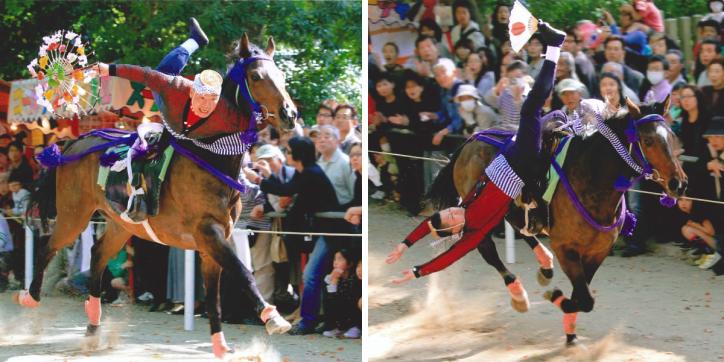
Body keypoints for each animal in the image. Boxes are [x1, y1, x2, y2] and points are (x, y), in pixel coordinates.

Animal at [12, 34, 294, 360]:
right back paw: (30, 297)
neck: (211, 155)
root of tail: (72, 144)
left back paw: (93, 327)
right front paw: (272, 316)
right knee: (48, 246)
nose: (290, 114)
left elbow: (215, 297)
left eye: (282, 76)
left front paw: (221, 346)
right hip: (74, 213)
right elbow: (243, 272)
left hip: (120, 224)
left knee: (97, 254)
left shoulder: (212, 241)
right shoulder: (208, 232)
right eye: (256, 76)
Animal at [428, 97, 688, 346]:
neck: (592, 178)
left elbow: (582, 297)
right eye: (648, 141)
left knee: (519, 227)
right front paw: (555, 298)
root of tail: (471, 140)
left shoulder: (597, 251)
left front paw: (570, 333)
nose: (679, 183)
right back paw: (518, 294)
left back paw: (545, 265)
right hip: (481, 209)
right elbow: (585, 299)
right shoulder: (566, 248)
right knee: (487, 248)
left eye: (672, 137)